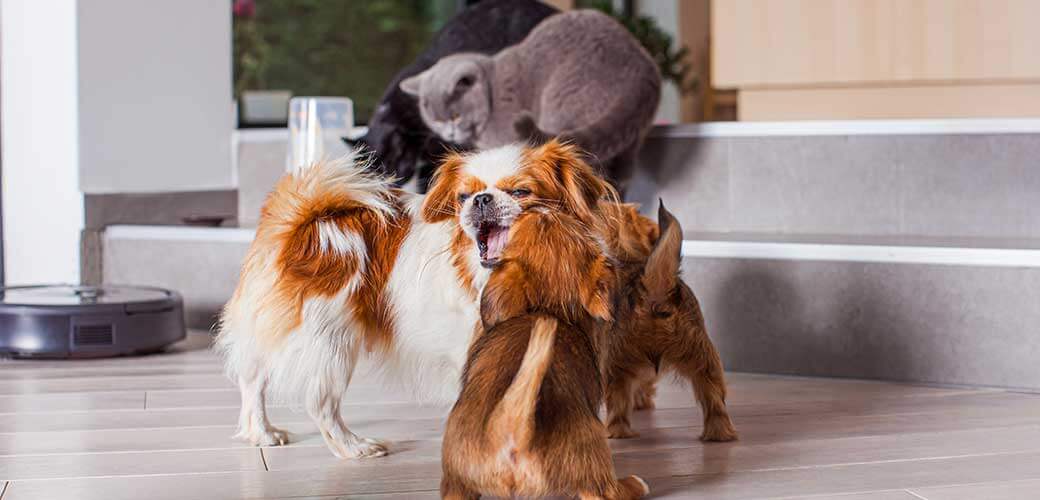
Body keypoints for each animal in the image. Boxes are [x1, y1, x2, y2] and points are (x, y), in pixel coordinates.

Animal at [214, 139, 611, 455]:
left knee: (253, 378)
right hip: (330, 340)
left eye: (520, 192)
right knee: (319, 403)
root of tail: (301, 220)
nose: (481, 199)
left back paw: (261, 433)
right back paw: (353, 447)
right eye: (463, 197)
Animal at [603, 200, 740, 442]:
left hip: (614, 361)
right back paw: (720, 433)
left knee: (617, 406)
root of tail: (655, 293)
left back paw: (615, 432)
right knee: (714, 399)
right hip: (704, 357)